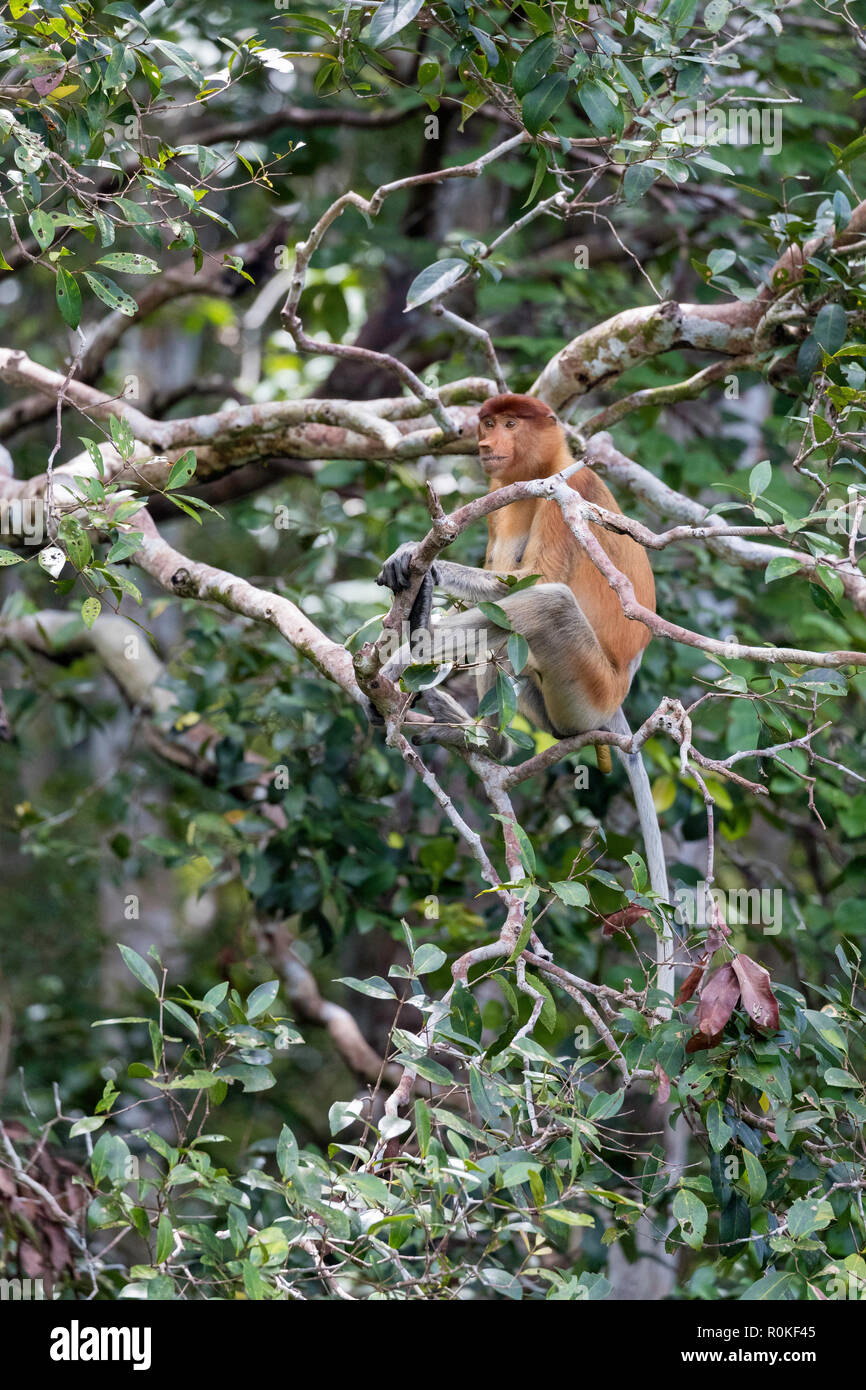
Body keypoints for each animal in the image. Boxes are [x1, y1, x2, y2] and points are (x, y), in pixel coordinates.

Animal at [377, 392, 674, 1007]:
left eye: (512, 423)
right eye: (488, 423)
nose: (488, 442)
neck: (542, 471)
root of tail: (616, 698)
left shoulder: (569, 491)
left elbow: (526, 583)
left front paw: (417, 569)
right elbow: (501, 582)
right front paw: (420, 583)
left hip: (587, 688)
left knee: (546, 604)